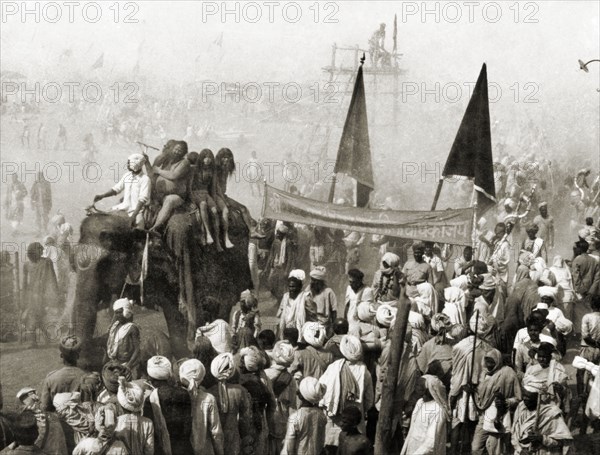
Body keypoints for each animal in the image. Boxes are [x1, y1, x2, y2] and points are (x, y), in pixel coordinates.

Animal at [71, 205, 252, 372]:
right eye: (72, 262)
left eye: (105, 263)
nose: (72, 343)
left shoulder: (175, 263)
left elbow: (182, 312)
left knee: (221, 305)